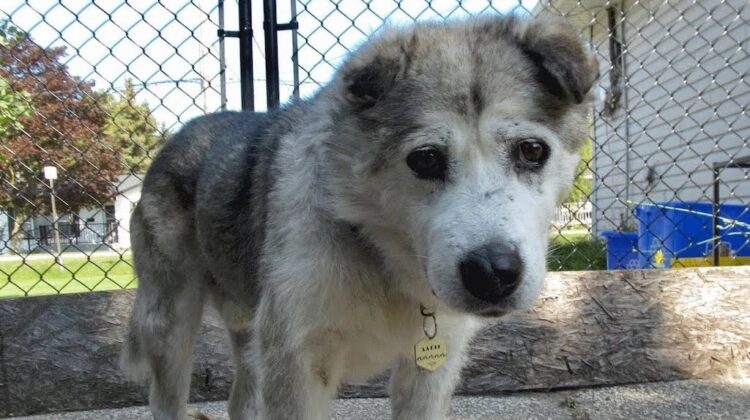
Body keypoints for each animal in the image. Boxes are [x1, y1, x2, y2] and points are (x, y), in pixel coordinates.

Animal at [121, 15, 597, 420]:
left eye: (532, 151)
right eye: (425, 159)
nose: (493, 272)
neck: (377, 255)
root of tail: (178, 136)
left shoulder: (429, 371)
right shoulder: (295, 366)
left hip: (249, 336)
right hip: (170, 324)